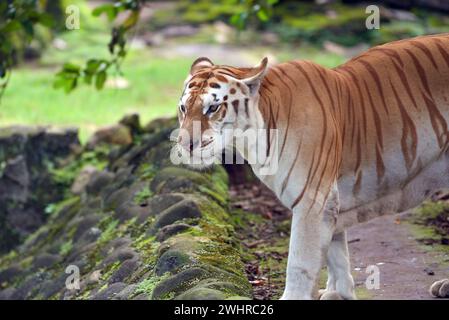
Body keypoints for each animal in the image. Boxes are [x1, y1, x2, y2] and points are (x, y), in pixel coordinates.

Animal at [173, 33, 448, 298]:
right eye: (184, 108)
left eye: (213, 108)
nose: (185, 144)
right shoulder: (331, 199)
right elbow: (336, 253)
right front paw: (339, 293)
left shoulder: (313, 199)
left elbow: (300, 262)